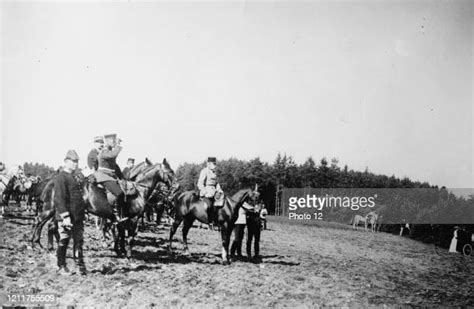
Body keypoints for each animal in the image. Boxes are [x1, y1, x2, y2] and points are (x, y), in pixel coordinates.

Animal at [31, 159, 177, 258]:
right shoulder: (133, 218)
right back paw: (36, 244)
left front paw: (120, 250)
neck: (138, 190)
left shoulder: (121, 220)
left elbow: (120, 235)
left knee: (48, 225)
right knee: (41, 221)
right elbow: (130, 237)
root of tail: (54, 181)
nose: (176, 188)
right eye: (170, 172)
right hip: (53, 210)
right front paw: (128, 255)